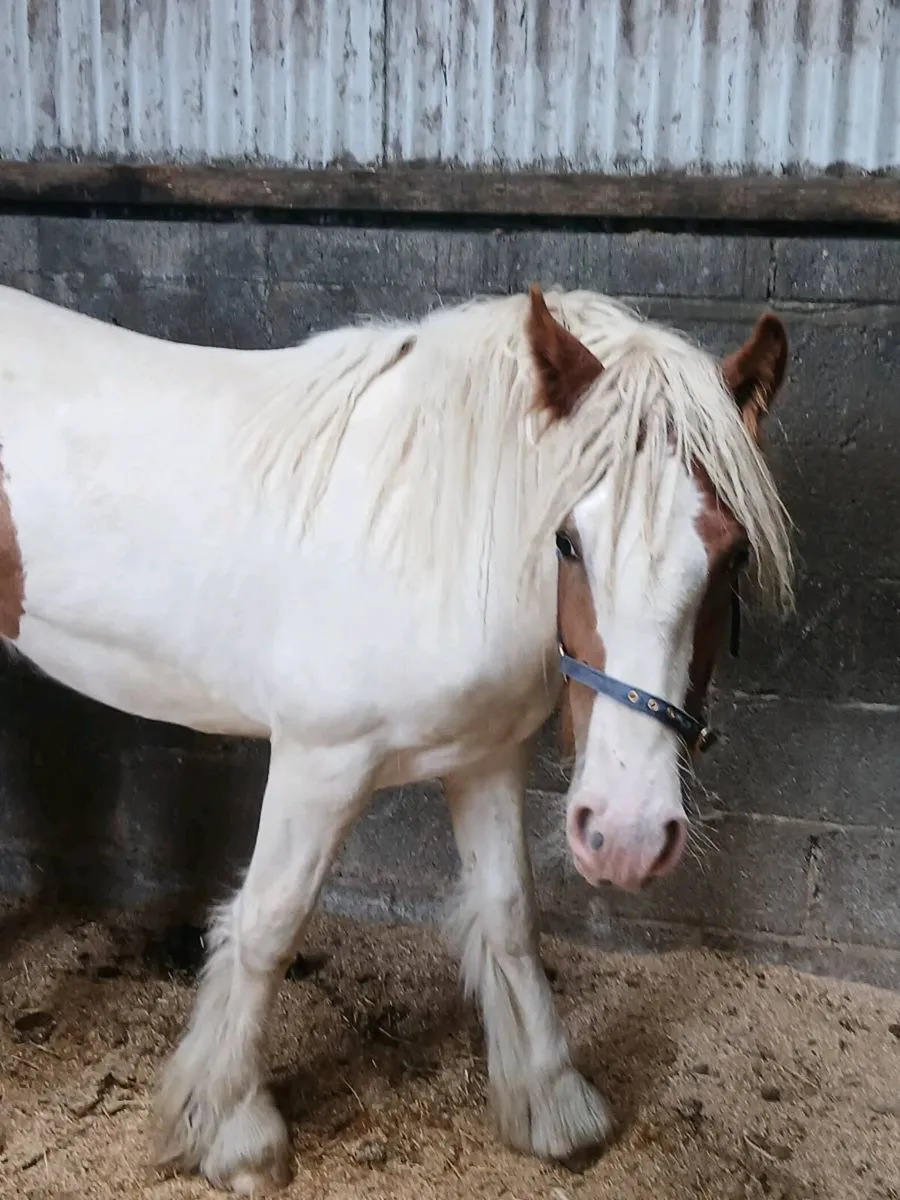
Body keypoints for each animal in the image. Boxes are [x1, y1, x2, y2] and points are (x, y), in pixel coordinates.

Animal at [0, 279, 793, 1193]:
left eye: (733, 557)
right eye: (567, 540)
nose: (627, 837)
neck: (430, 543)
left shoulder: (485, 758)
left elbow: (509, 915)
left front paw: (549, 1102)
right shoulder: (318, 763)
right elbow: (268, 924)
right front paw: (233, 1130)